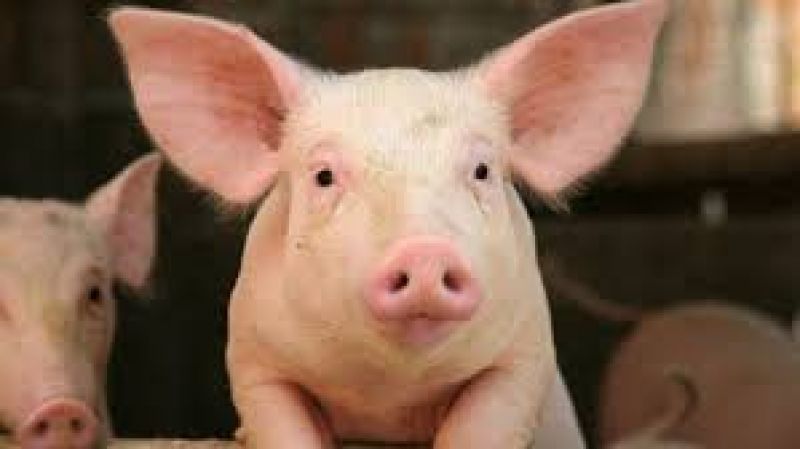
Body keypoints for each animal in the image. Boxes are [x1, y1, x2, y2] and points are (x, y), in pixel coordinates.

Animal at [108, 0, 667, 447]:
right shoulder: (254, 358)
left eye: (482, 170)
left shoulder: (523, 356)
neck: (387, 395)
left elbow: (481, 426)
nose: (424, 254)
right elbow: (281, 425)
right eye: (324, 175)